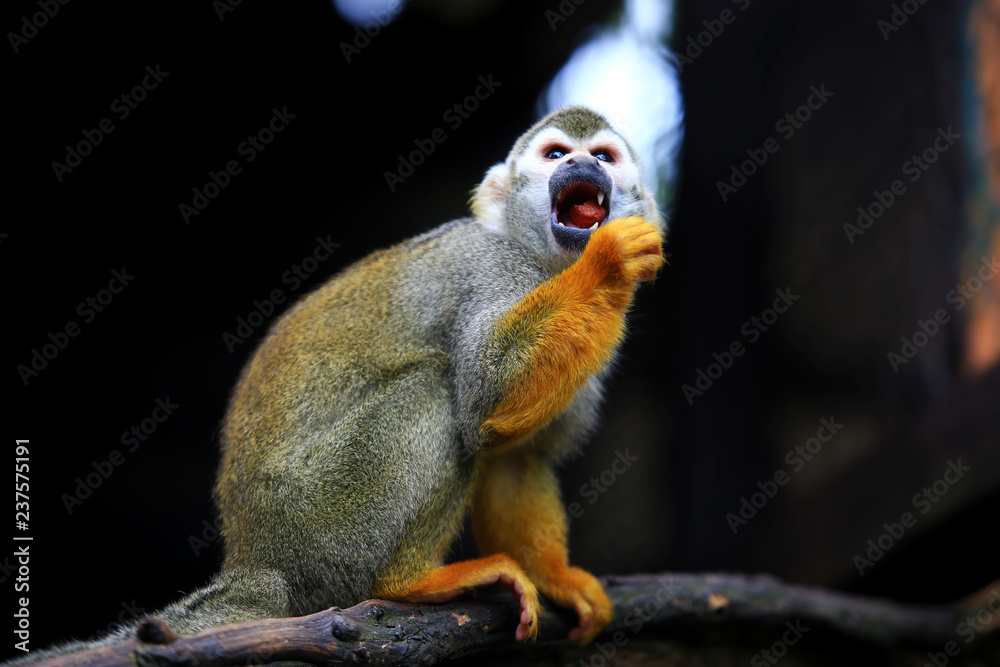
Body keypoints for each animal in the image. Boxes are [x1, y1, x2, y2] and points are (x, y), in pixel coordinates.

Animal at [9, 105, 664, 664]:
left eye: (602, 156)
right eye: (556, 155)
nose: (581, 168)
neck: (549, 265)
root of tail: (257, 561)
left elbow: (516, 457)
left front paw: (558, 579)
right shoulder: (486, 270)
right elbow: (486, 397)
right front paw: (607, 262)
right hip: (320, 519)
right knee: (435, 388)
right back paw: (408, 583)